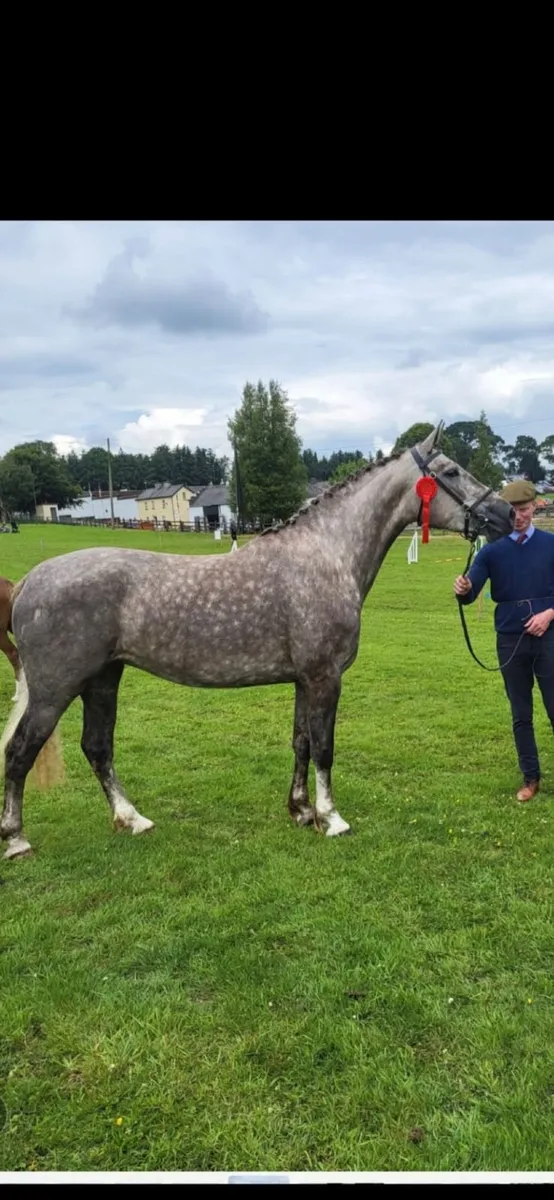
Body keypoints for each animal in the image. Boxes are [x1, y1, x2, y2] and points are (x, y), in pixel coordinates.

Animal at [0, 425, 513, 861]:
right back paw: (17, 839)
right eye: (451, 471)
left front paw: (301, 811)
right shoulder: (325, 677)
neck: (327, 554)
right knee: (21, 750)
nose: (506, 513)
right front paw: (332, 819)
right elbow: (324, 747)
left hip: (103, 679)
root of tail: (29, 582)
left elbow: (301, 742)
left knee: (97, 747)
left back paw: (133, 819)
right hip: (56, 689)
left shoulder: (305, 680)